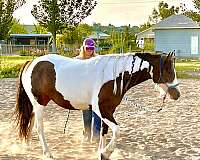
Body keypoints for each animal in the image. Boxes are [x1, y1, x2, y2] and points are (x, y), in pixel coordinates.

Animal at [14, 52, 180, 159]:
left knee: (30, 122)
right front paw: (105, 152)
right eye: (168, 70)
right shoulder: (101, 110)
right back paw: (47, 153)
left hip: (35, 105)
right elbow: (116, 130)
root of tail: (31, 62)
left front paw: (100, 151)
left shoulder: (108, 110)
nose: (177, 94)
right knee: (39, 128)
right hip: (39, 103)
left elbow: (104, 131)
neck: (114, 76)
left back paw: (26, 145)